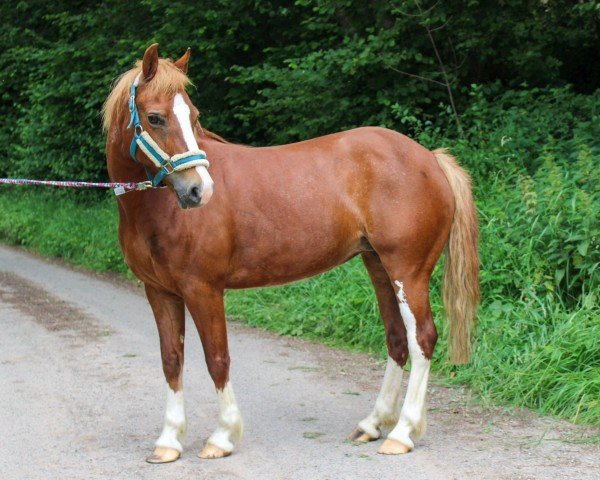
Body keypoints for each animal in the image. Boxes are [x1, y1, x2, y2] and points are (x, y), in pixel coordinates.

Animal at [103, 44, 478, 462]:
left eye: (194, 117)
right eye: (155, 118)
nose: (200, 190)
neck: (159, 211)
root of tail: (430, 158)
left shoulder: (204, 290)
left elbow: (217, 359)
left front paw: (222, 436)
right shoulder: (159, 292)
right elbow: (172, 361)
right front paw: (168, 441)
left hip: (407, 271)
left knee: (422, 338)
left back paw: (403, 432)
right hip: (379, 265)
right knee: (397, 339)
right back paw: (373, 424)